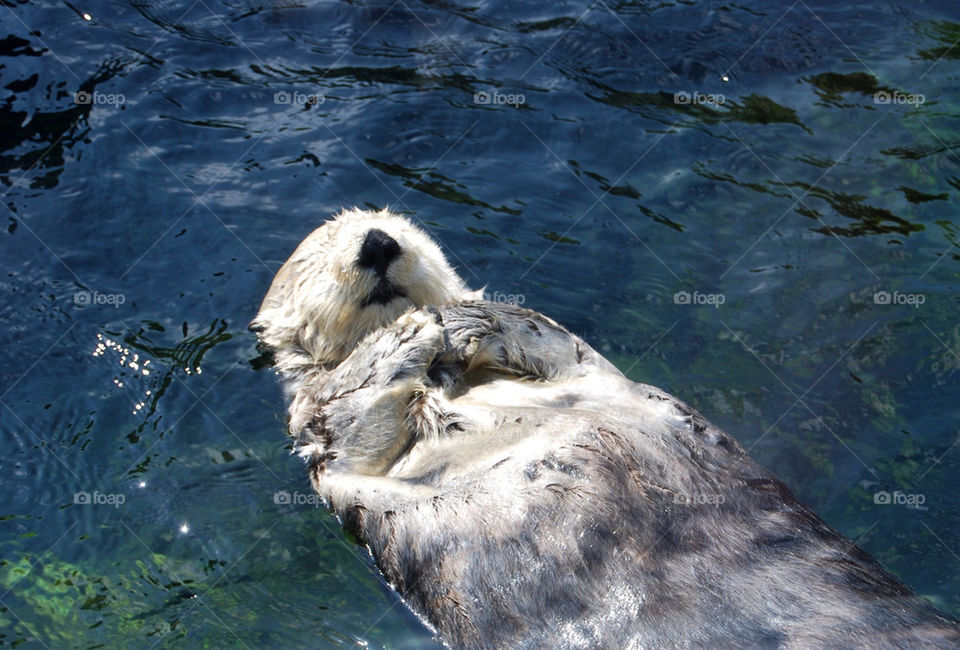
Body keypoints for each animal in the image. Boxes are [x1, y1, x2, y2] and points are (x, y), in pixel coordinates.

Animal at [249, 209, 960, 648]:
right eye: (316, 256)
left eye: (400, 223)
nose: (377, 242)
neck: (447, 383)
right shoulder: (333, 450)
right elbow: (348, 414)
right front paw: (407, 335)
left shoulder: (586, 372)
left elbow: (553, 338)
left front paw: (464, 317)